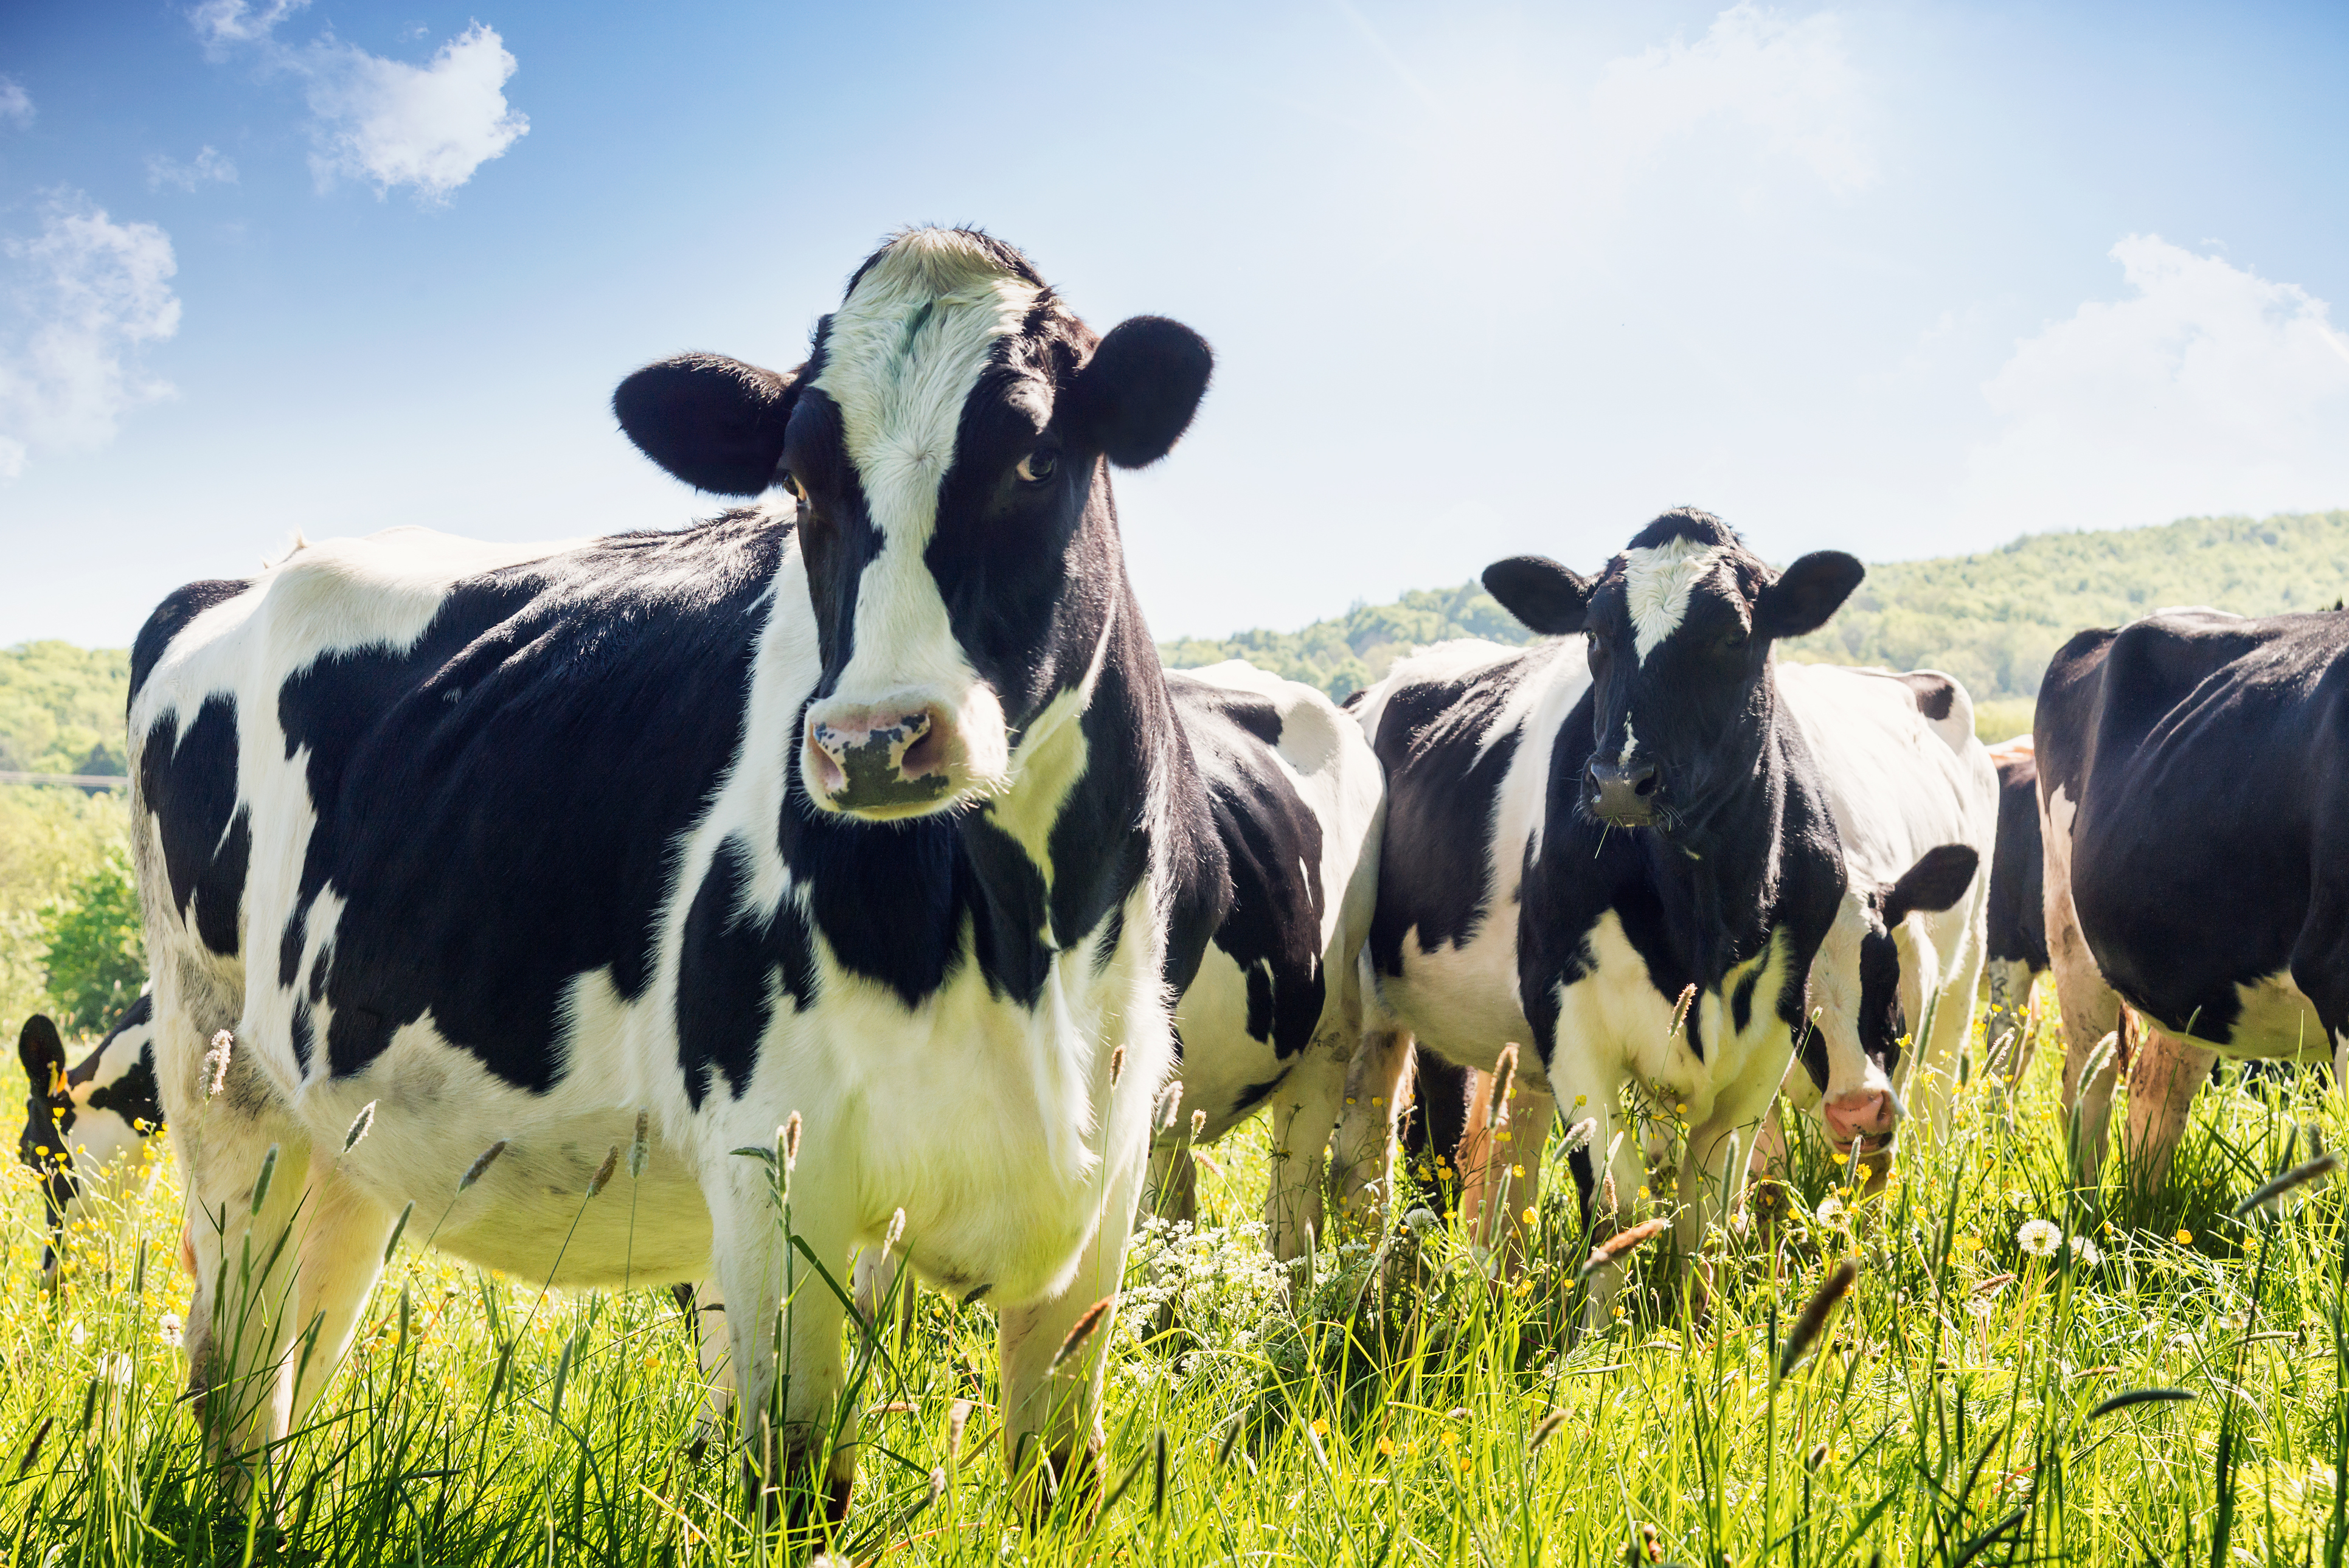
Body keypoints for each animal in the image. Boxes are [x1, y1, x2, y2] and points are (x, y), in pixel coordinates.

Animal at [128, 227, 1220, 1524]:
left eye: (1036, 456)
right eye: (798, 483)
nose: (873, 738)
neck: (1022, 937)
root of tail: (247, 575)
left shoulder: (1104, 1173)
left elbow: (1060, 1476)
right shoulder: (774, 1164)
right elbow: (798, 1482)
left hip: (345, 1127)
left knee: (302, 1348)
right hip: (221, 1079)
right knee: (234, 1368)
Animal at [2037, 606, 2349, 1186]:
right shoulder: (2335, 969)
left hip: (2184, 974)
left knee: (2155, 1092)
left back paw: (2145, 1205)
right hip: (2070, 939)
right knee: (2087, 1089)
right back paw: (2085, 1210)